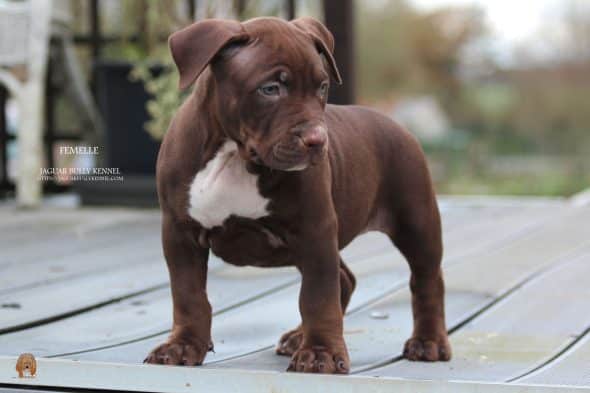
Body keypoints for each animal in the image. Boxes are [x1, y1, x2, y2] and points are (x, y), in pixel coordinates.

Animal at [146, 16, 450, 374]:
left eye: (322, 87)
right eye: (270, 89)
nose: (318, 140)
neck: (236, 156)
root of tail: (396, 124)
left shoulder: (315, 229)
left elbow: (317, 297)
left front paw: (321, 353)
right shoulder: (180, 231)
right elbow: (188, 294)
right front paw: (183, 345)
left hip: (415, 220)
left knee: (426, 279)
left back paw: (428, 342)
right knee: (344, 279)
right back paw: (297, 337)